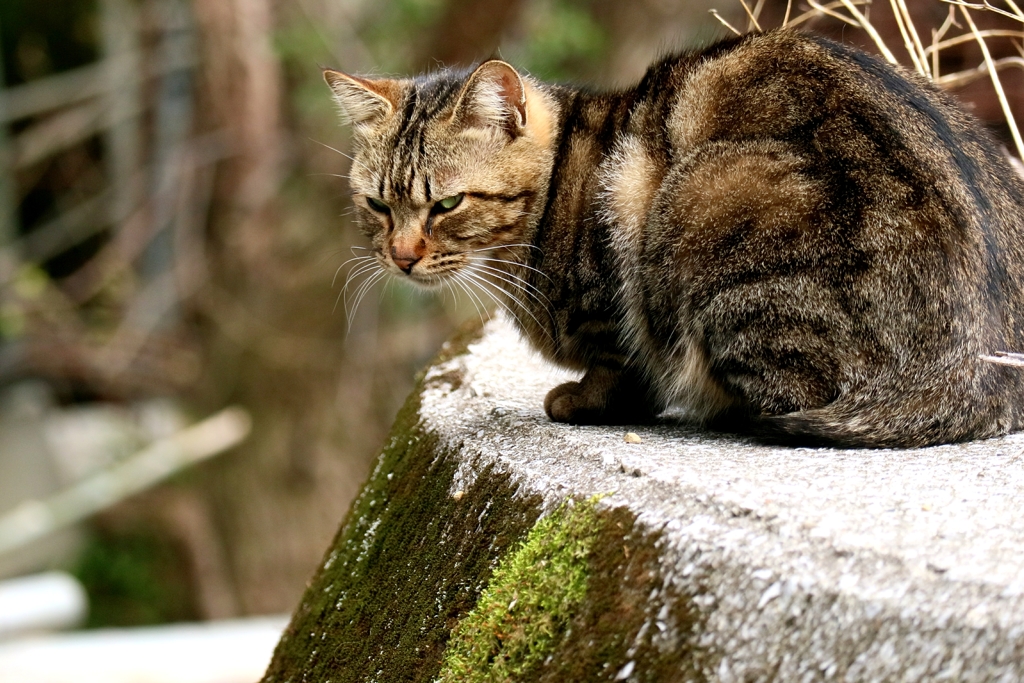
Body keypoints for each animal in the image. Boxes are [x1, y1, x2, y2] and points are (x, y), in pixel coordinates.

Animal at [323, 28, 1024, 448]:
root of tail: (973, 373)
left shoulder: (618, 276)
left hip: (707, 204)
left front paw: (583, 399)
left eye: (446, 203)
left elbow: (621, 367)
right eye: (378, 205)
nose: (401, 257)